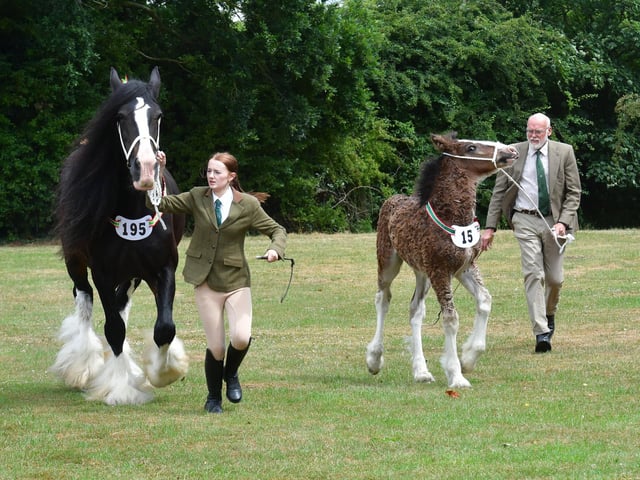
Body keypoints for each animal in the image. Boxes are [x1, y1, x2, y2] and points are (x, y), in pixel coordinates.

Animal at [52, 67, 189, 405]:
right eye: (120, 117)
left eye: (158, 116)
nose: (146, 169)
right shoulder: (101, 272)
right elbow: (113, 328)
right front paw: (121, 388)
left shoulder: (163, 268)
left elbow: (164, 327)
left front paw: (163, 371)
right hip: (76, 263)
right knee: (84, 300)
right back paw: (83, 366)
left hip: (133, 274)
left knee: (121, 304)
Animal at [366, 132, 518, 388]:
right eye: (471, 147)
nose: (512, 151)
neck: (452, 216)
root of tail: (392, 200)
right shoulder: (440, 270)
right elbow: (451, 318)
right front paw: (456, 375)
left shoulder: (464, 267)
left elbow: (485, 300)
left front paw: (468, 358)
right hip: (388, 262)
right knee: (382, 299)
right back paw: (374, 359)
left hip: (422, 272)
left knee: (415, 309)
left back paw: (421, 371)